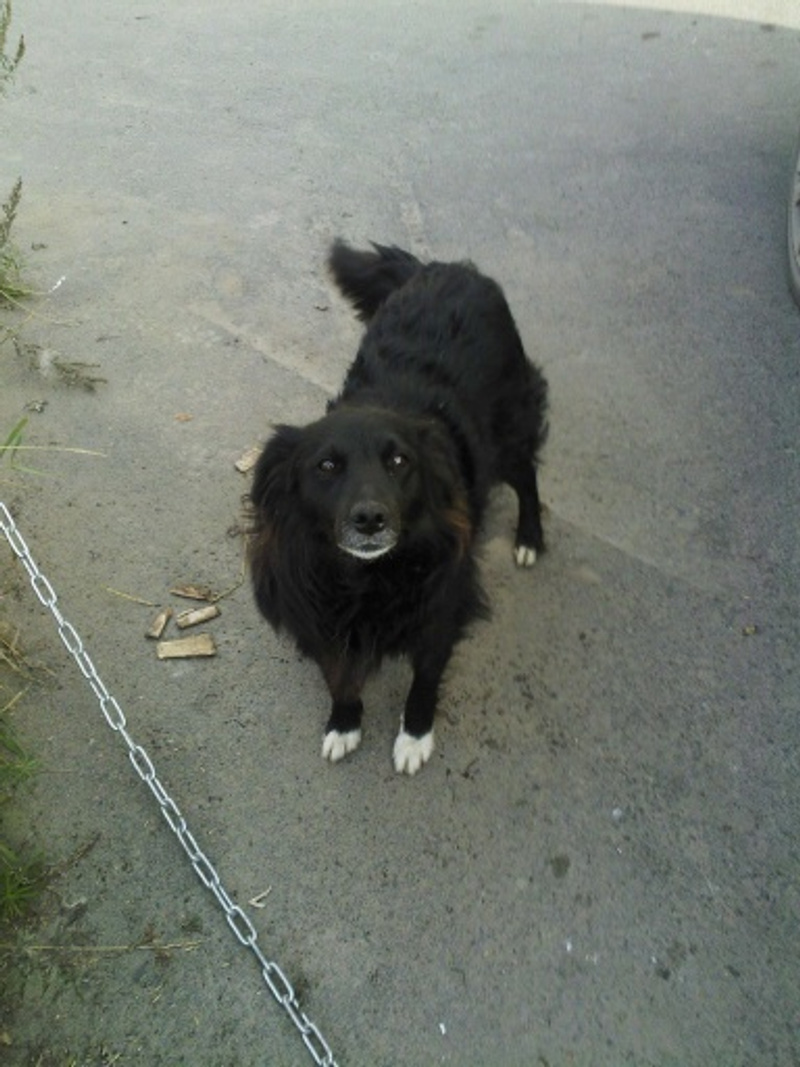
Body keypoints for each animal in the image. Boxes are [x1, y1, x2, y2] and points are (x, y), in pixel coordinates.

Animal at [248, 240, 548, 775]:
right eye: (327, 466)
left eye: (399, 461)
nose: (370, 519)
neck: (367, 578)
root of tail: (445, 267)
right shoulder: (323, 613)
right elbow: (339, 675)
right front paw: (344, 724)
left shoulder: (442, 604)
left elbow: (425, 678)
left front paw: (414, 737)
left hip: (511, 426)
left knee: (527, 475)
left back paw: (530, 538)